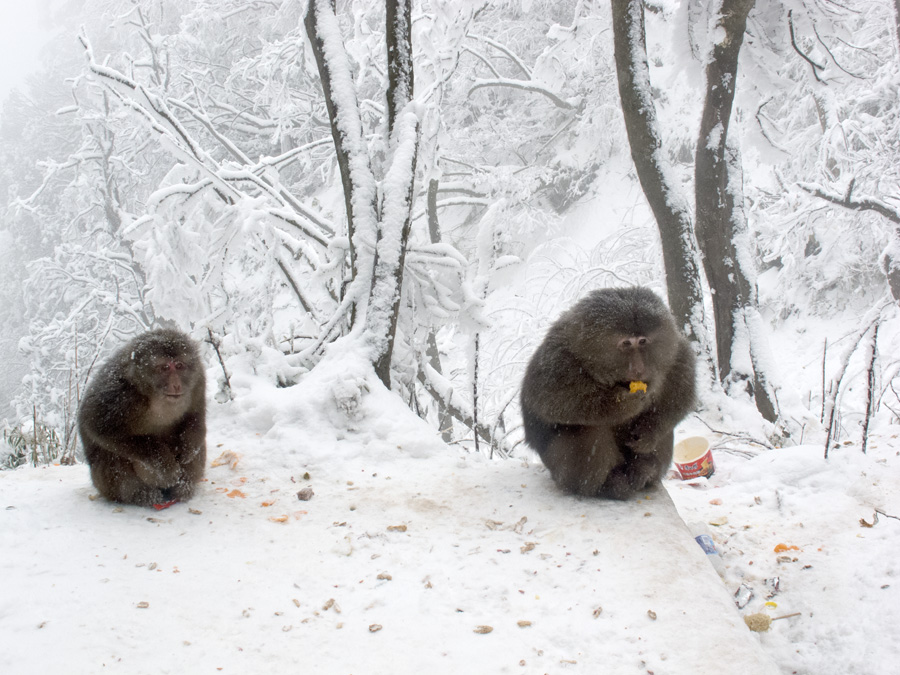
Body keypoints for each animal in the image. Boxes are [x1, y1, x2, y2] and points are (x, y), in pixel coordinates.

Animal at [78, 328, 207, 508]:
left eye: (179, 366)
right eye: (164, 367)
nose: (176, 385)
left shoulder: (198, 381)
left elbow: (195, 416)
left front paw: (188, 450)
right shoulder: (116, 393)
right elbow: (97, 426)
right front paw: (164, 466)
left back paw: (183, 487)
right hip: (104, 485)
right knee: (110, 455)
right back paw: (140, 495)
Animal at [520, 288, 696, 500]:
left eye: (643, 341)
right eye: (626, 343)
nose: (638, 369)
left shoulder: (677, 353)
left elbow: (678, 397)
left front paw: (649, 433)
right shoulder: (557, 359)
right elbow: (547, 400)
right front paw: (622, 404)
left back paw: (645, 469)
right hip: (559, 471)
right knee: (589, 429)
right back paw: (604, 487)